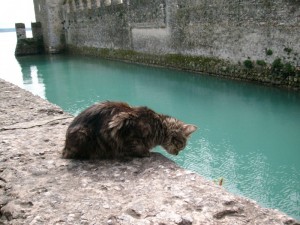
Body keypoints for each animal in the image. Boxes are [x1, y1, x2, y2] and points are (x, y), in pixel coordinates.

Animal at [62, 101, 198, 159]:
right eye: (181, 145)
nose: (178, 154)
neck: (159, 126)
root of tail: (65, 146)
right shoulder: (123, 126)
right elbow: (135, 145)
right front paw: (145, 152)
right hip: (83, 134)